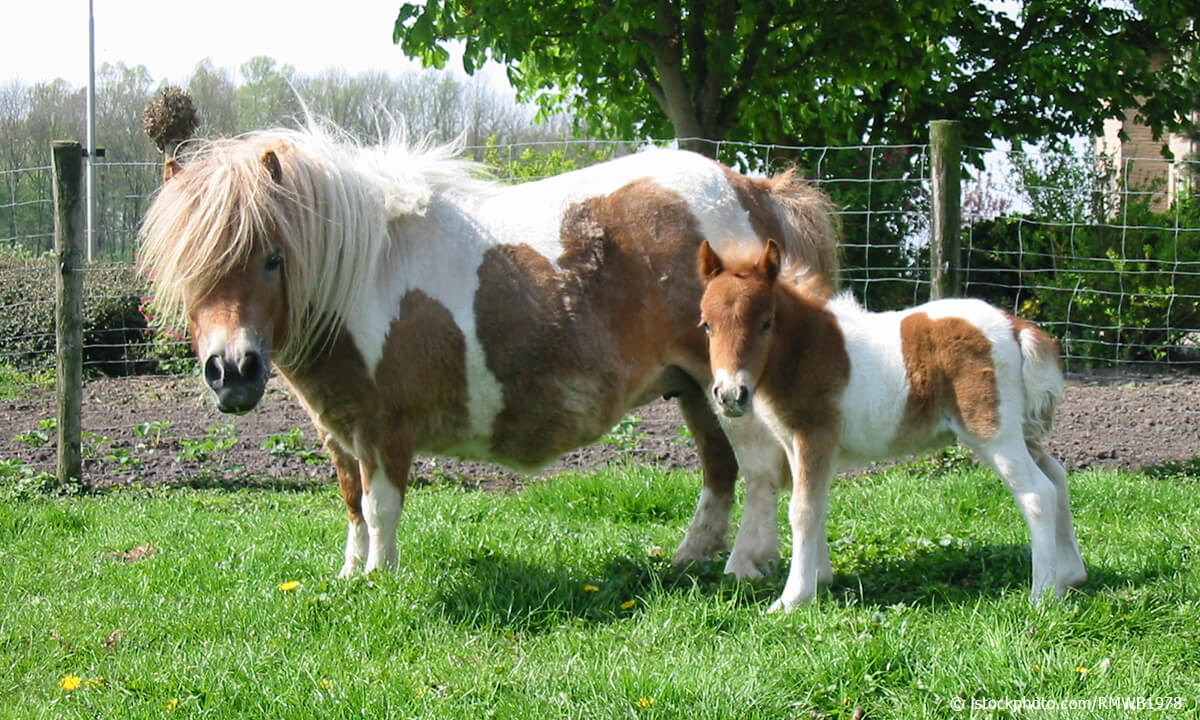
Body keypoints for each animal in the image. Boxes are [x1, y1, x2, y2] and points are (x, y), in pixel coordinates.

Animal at [137, 122, 840, 579]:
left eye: (272, 258)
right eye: (189, 270)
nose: (232, 372)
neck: (367, 272)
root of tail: (750, 191)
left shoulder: (386, 428)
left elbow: (381, 506)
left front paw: (381, 581)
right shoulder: (339, 430)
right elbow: (352, 504)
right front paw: (350, 576)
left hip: (728, 392)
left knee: (758, 473)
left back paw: (744, 566)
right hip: (696, 389)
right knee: (720, 471)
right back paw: (691, 558)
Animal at [697, 239, 1087, 611]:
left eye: (767, 322)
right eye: (706, 324)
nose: (730, 394)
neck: (806, 350)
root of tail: (1015, 326)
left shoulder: (815, 437)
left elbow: (803, 510)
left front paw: (793, 599)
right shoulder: (797, 444)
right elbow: (817, 503)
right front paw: (820, 581)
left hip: (993, 433)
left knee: (1038, 493)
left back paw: (1042, 595)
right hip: (1020, 433)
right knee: (1057, 479)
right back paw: (1070, 577)